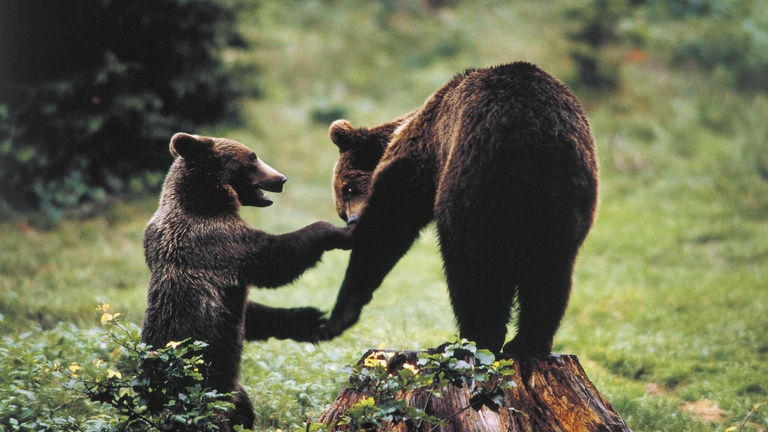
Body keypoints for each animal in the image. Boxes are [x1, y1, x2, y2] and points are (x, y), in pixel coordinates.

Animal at [141, 132, 351, 430]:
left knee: (243, 406)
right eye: (252, 157)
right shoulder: (217, 242)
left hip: (227, 388)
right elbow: (276, 257)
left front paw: (309, 318)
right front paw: (336, 231)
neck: (205, 201)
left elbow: (251, 313)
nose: (281, 178)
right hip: (204, 390)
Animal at [314, 62, 599, 356]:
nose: (352, 220)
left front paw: (340, 314)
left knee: (469, 265)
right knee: (551, 270)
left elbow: (391, 222)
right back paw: (527, 343)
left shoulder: (423, 156)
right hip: (566, 195)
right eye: (342, 208)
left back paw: (472, 339)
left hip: (475, 181)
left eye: (347, 189)